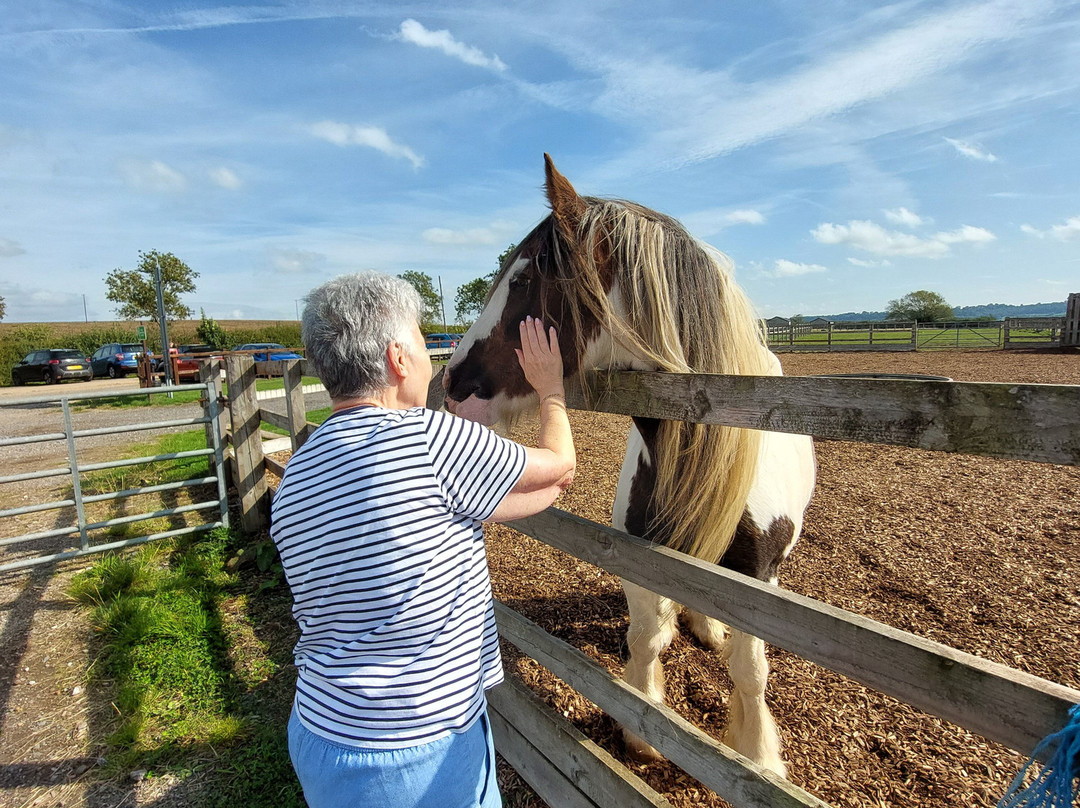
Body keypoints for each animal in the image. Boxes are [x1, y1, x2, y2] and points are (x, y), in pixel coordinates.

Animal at [443, 155, 816, 777]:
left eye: (522, 280)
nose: (452, 381)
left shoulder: (756, 581)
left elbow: (751, 672)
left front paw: (760, 758)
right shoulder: (643, 558)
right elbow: (647, 639)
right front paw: (643, 731)